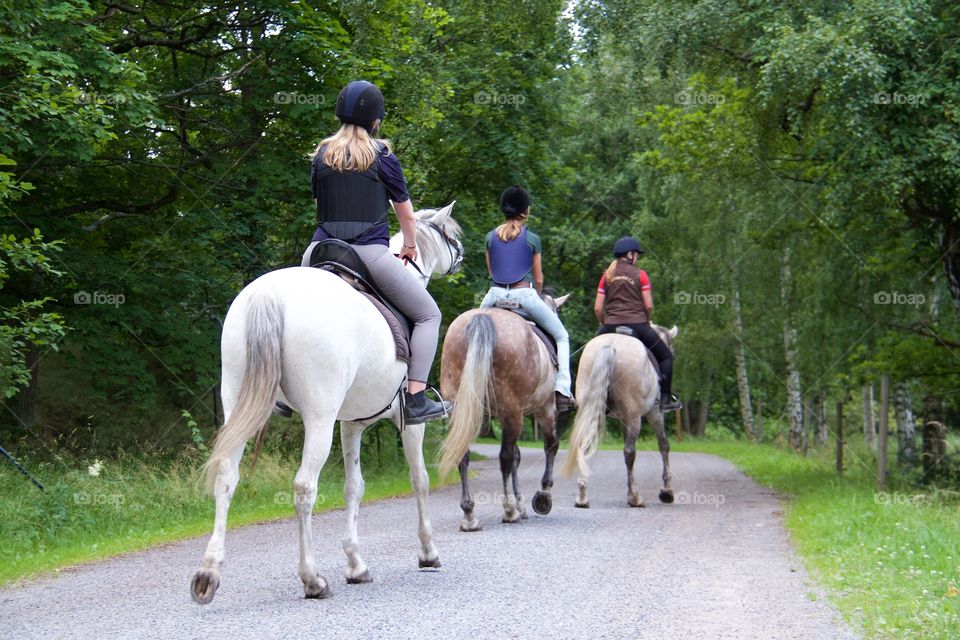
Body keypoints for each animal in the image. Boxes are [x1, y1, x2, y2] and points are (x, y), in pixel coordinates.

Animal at [190, 202, 462, 604]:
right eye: (450, 235)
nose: (461, 257)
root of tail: (271, 295)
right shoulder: (408, 425)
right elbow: (420, 480)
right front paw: (428, 552)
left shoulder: (352, 424)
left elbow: (354, 487)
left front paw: (356, 564)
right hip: (318, 419)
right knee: (304, 487)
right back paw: (312, 579)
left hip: (237, 403)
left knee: (226, 476)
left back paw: (208, 573)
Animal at [436, 296, 568, 528]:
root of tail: (482, 318)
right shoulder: (545, 409)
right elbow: (549, 446)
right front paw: (542, 497)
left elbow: (517, 455)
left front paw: (522, 505)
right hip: (514, 411)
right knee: (505, 457)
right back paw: (508, 510)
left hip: (460, 408)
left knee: (464, 454)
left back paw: (469, 514)